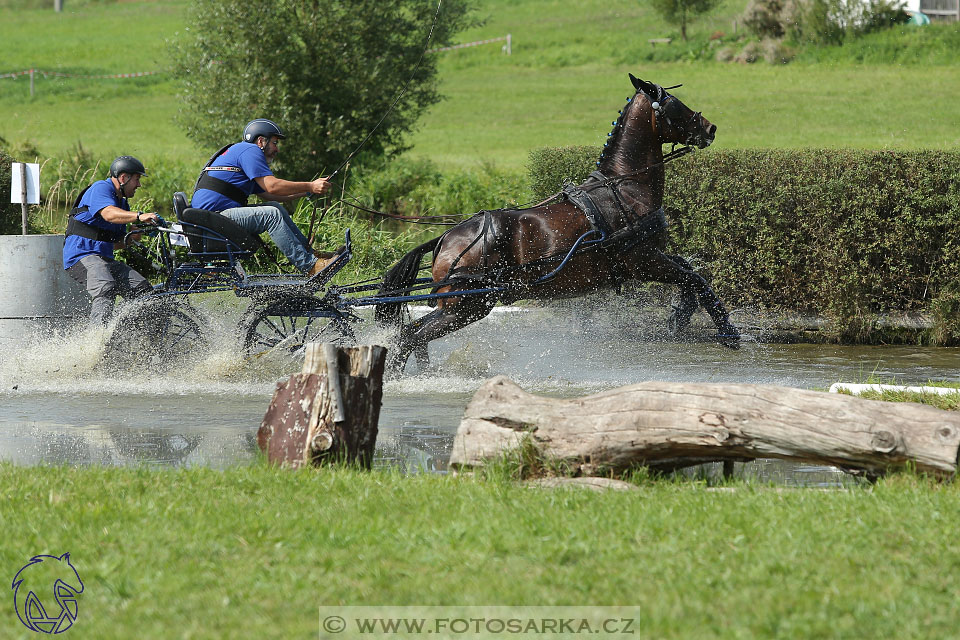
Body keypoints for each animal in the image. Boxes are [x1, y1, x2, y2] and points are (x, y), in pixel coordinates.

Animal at [378, 74, 740, 376]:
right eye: (676, 104)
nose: (710, 128)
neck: (625, 186)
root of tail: (446, 239)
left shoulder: (653, 257)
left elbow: (689, 273)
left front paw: (680, 316)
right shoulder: (643, 261)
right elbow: (696, 279)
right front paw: (728, 331)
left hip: (459, 305)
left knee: (412, 334)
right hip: (466, 305)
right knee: (410, 337)